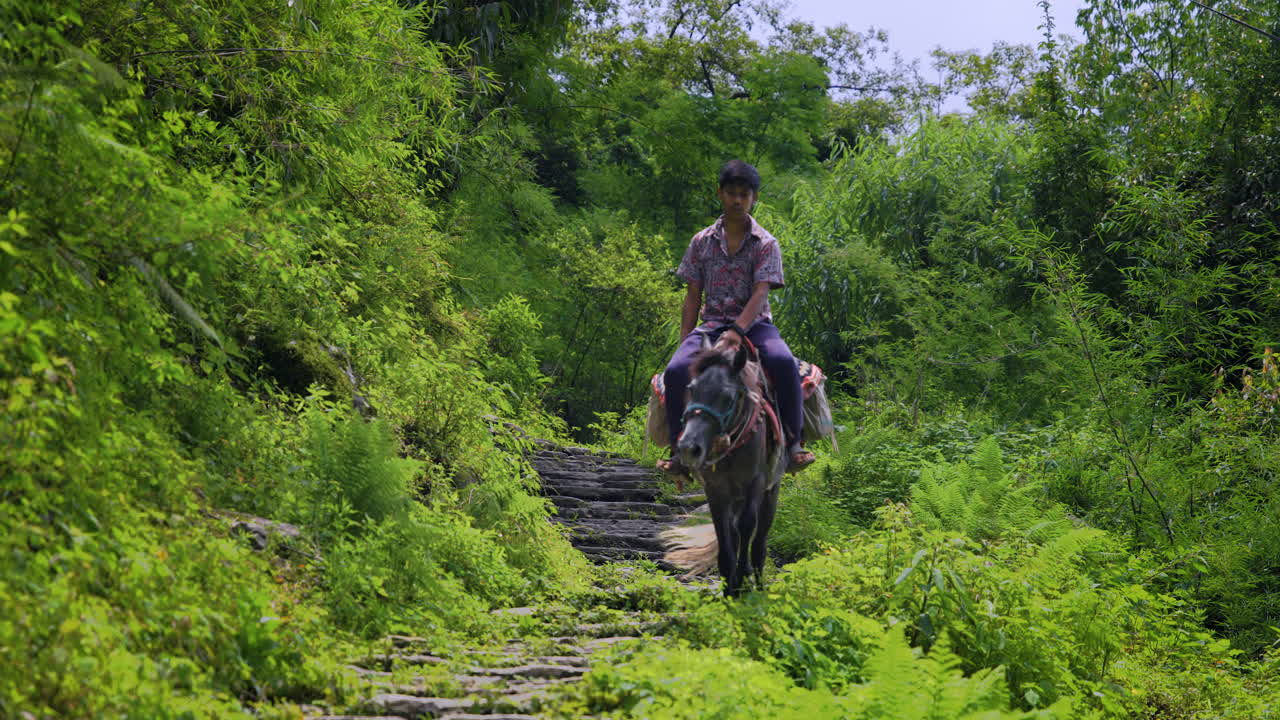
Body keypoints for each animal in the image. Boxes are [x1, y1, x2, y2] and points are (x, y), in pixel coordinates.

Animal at [660, 334, 786, 596]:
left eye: (727, 397)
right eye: (691, 390)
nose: (689, 447)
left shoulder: (756, 482)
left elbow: (748, 525)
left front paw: (742, 577)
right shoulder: (715, 488)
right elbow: (724, 531)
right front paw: (730, 585)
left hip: (771, 490)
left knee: (759, 541)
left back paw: (758, 584)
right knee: (735, 531)